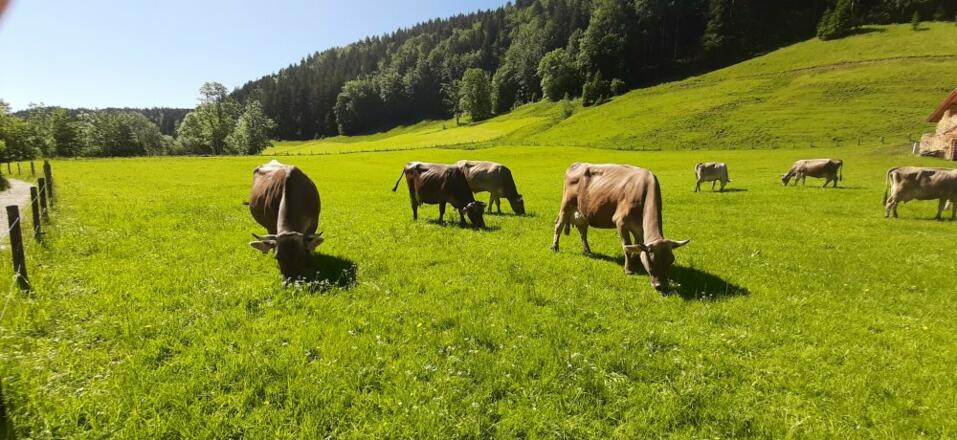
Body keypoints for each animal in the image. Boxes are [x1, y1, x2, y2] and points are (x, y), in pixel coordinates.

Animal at [551, 163, 690, 292]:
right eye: (651, 261)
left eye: (671, 260)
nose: (661, 286)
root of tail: (576, 164)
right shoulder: (621, 222)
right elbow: (627, 247)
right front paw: (628, 269)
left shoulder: (639, 228)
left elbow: (637, 244)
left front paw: (636, 261)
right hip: (566, 205)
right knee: (559, 226)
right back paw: (555, 247)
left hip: (584, 212)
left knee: (582, 231)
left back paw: (587, 251)